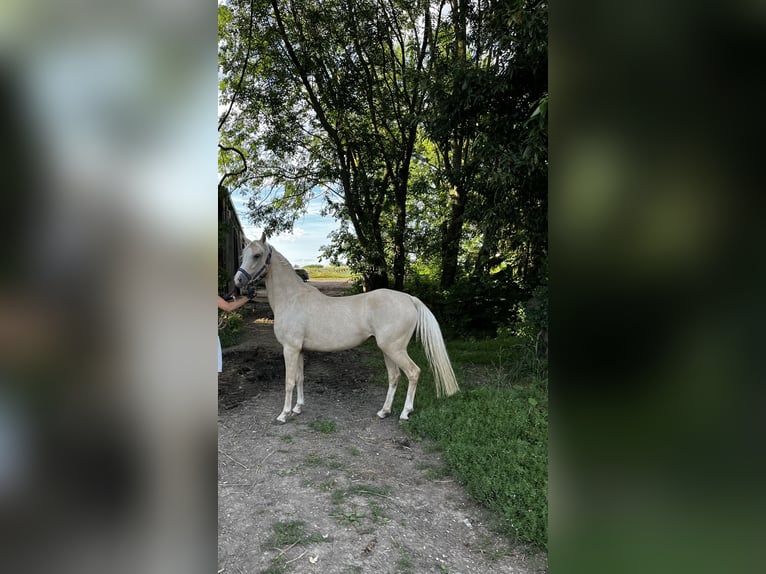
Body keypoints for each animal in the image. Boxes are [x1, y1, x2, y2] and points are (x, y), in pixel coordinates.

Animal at [234, 236, 460, 426]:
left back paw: (405, 412)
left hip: (395, 349)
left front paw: (284, 414)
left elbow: (289, 381)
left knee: (413, 372)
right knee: (394, 376)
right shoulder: (299, 350)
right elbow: (300, 378)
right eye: (243, 254)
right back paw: (384, 411)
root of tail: (409, 299)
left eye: (257, 255)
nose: (238, 281)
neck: (292, 298)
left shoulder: (289, 349)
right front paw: (298, 408)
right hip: (388, 350)